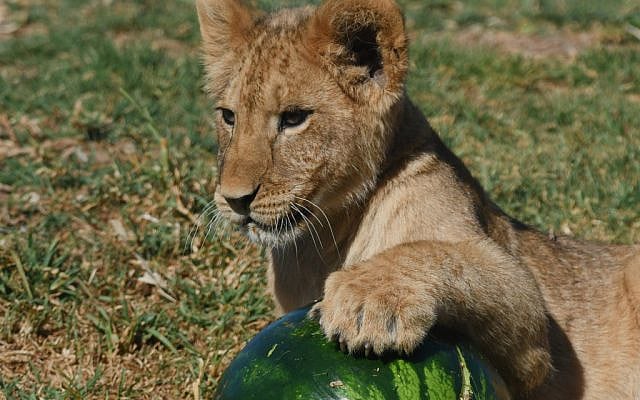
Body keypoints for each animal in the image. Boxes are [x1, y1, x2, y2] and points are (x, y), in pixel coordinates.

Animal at [195, 0, 640, 398]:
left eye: (293, 118)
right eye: (229, 116)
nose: (234, 200)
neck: (324, 241)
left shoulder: (533, 334)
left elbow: (436, 253)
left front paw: (367, 301)